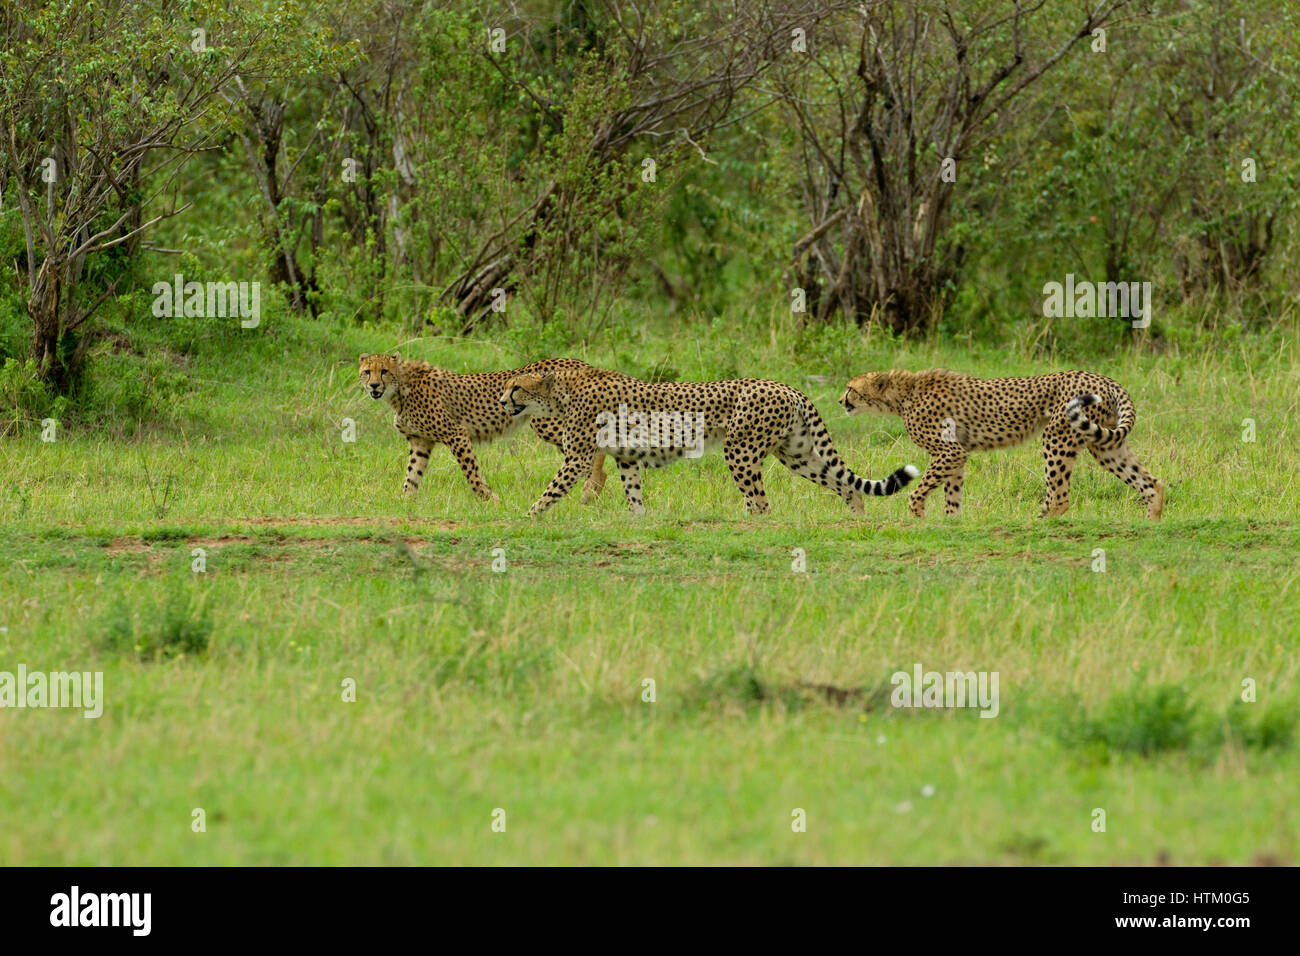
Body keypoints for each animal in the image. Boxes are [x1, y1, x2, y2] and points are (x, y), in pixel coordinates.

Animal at [358, 356, 605, 504]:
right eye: (367, 372)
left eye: (384, 371)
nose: (374, 385)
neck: (399, 388)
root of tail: (580, 362)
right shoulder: (420, 441)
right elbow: (412, 473)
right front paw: (406, 502)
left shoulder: (456, 433)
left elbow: (471, 473)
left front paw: (489, 498)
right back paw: (592, 493)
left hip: (549, 422)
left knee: (595, 449)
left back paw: (591, 489)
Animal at [496, 366, 915, 515]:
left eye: (516, 386)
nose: (501, 401)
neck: (561, 392)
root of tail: (786, 386)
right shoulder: (626, 457)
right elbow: (633, 492)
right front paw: (639, 520)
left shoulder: (579, 457)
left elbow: (551, 489)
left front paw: (529, 516)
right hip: (796, 453)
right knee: (845, 484)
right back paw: (856, 518)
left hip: (740, 449)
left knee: (761, 502)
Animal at [842, 369, 1170, 520]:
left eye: (850, 389)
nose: (840, 401)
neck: (903, 394)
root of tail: (1103, 378)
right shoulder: (957, 454)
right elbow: (953, 496)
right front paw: (952, 523)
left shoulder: (949, 451)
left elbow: (917, 492)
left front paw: (919, 516)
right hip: (1105, 444)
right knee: (1150, 483)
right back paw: (1150, 524)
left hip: (1058, 437)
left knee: (1060, 497)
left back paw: (1039, 523)